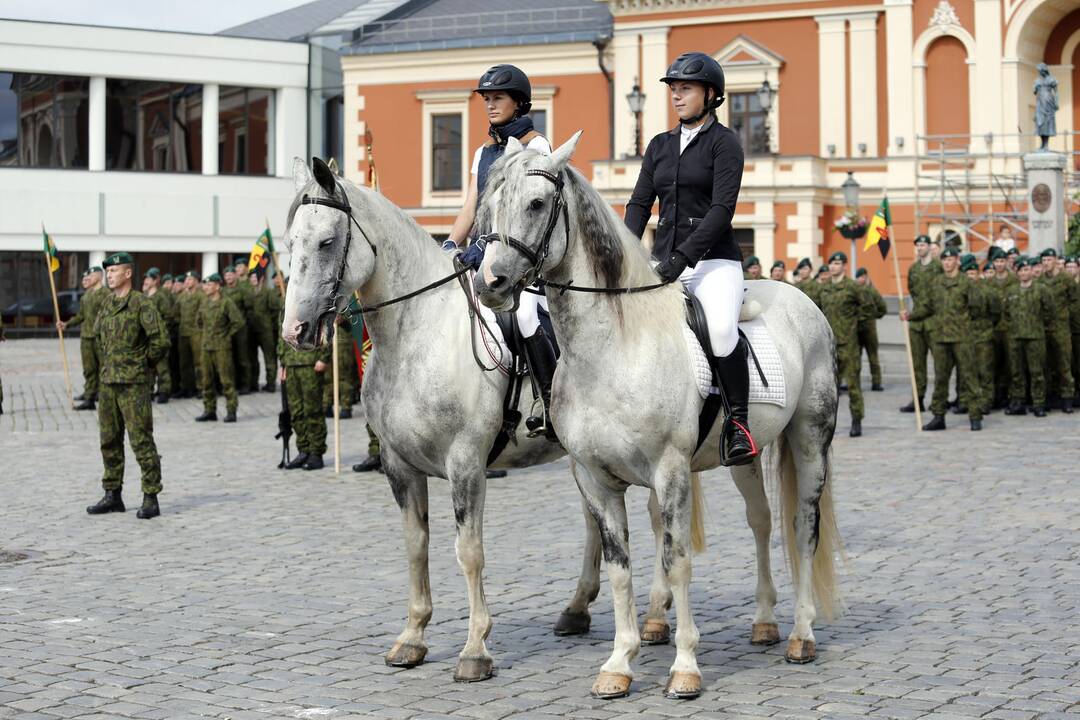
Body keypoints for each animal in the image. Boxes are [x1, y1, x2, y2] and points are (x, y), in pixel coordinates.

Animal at [278, 156, 635, 682]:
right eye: (290, 243)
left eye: (325, 241)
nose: (295, 331)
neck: (416, 336)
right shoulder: (398, 464)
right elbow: (416, 545)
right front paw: (412, 637)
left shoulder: (465, 463)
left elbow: (468, 551)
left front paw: (475, 650)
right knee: (597, 522)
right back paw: (576, 610)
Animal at [477, 132, 846, 699]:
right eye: (490, 204)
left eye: (537, 204)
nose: (490, 283)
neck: (614, 346)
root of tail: (802, 301)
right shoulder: (596, 478)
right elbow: (620, 567)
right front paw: (619, 663)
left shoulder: (670, 471)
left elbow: (677, 560)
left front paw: (685, 666)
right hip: (743, 455)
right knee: (761, 521)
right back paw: (764, 622)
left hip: (809, 441)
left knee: (804, 526)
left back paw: (801, 635)